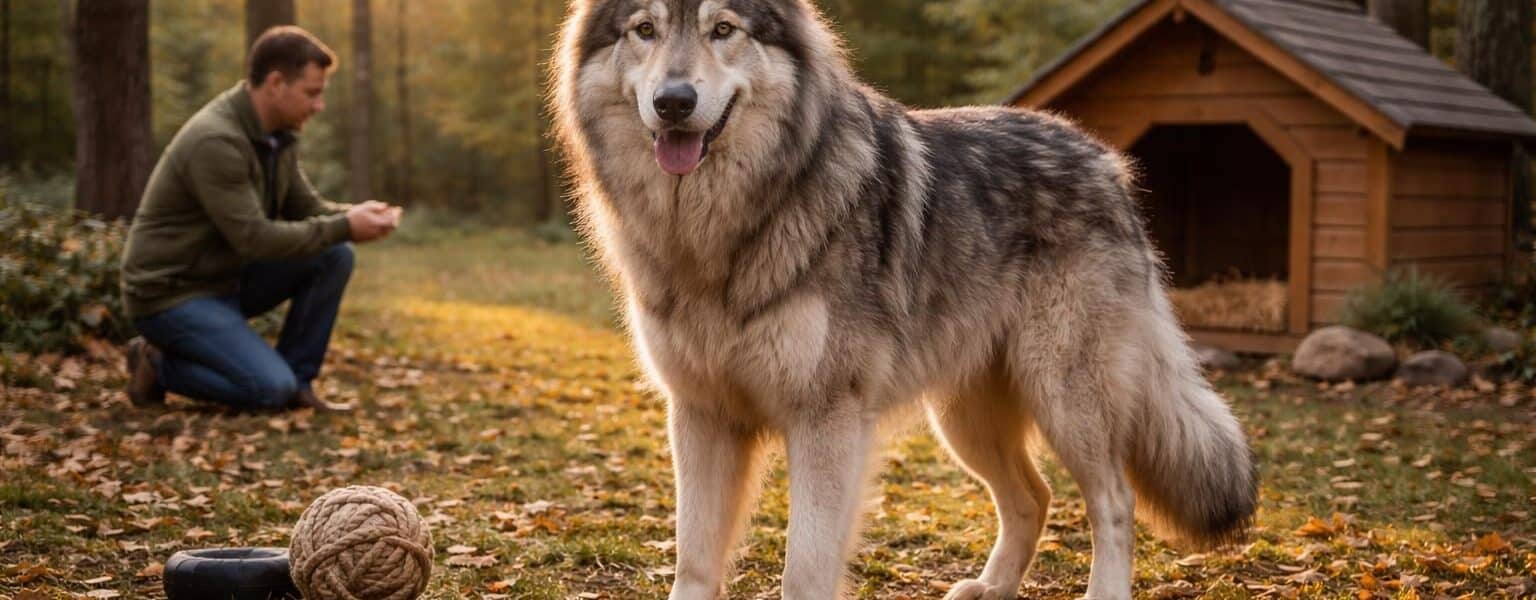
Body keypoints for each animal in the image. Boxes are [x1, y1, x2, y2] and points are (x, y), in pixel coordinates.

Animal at [550, 1, 1258, 598]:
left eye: (723, 29)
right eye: (645, 29)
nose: (674, 102)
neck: (721, 234)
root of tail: (1106, 160)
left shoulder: (826, 420)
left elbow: (804, 568)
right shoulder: (699, 413)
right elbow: (694, 559)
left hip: (1063, 400)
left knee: (1113, 501)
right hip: (965, 423)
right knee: (1034, 497)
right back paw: (990, 588)